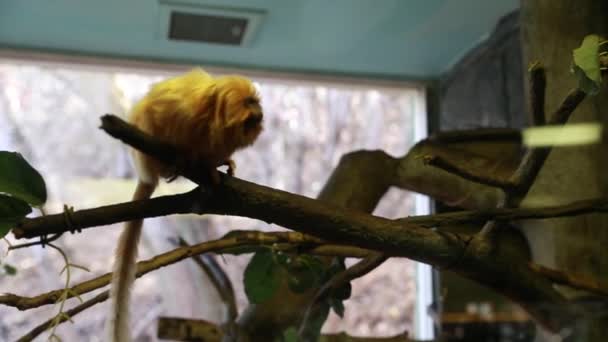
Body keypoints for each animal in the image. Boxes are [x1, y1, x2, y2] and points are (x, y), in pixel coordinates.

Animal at [107, 67, 264, 342]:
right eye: (249, 102)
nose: (258, 111)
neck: (213, 117)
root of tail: (145, 175)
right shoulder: (182, 107)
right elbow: (152, 111)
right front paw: (181, 155)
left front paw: (218, 165)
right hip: (146, 160)